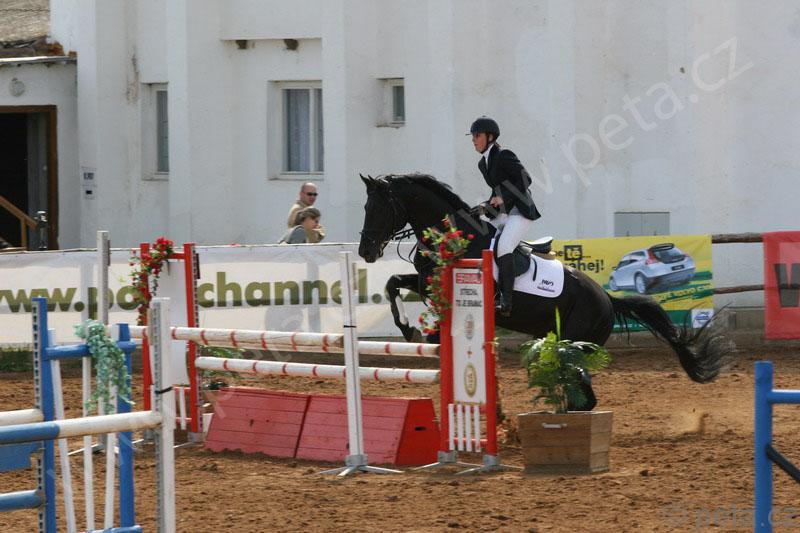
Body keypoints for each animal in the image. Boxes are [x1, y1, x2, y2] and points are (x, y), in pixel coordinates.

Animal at [357, 173, 731, 405]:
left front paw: (424, 333)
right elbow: (393, 284)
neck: (454, 233)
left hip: (576, 345)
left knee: (582, 393)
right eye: (365, 207)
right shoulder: (425, 281)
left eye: (378, 208)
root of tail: (608, 300)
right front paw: (407, 329)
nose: (365, 252)